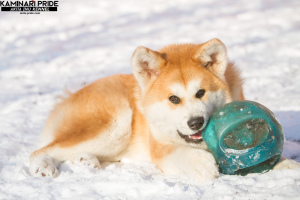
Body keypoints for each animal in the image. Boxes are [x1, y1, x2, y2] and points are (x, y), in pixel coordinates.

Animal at [29, 38, 298, 182]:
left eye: (201, 93)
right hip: (117, 122)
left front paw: (288, 166)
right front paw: (202, 164)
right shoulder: (159, 147)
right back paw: (43, 167)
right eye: (173, 99)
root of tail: (69, 97)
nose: (195, 122)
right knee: (42, 150)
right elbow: (179, 154)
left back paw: (86, 160)